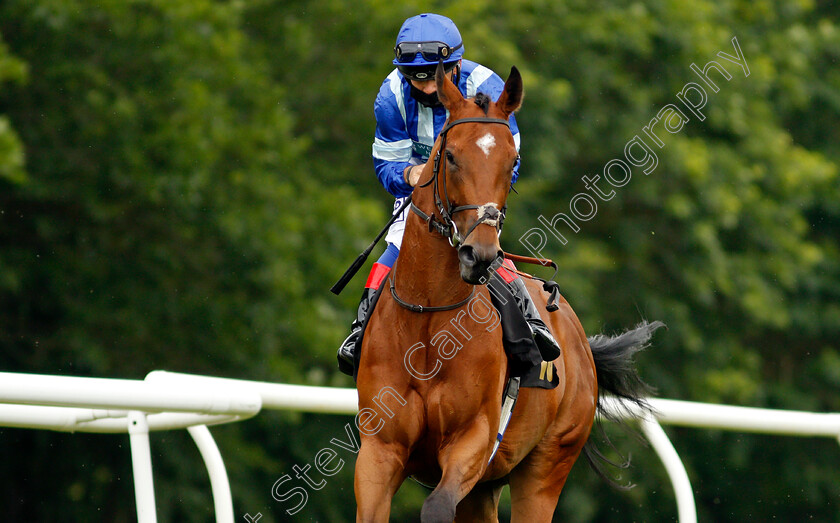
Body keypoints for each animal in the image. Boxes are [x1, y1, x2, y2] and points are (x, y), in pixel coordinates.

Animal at [352, 63, 656, 520]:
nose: (479, 254)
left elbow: (436, 506)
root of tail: (582, 343)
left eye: (511, 160)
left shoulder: (474, 440)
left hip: (548, 463)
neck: (429, 322)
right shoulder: (379, 448)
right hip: (486, 486)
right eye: (451, 156)